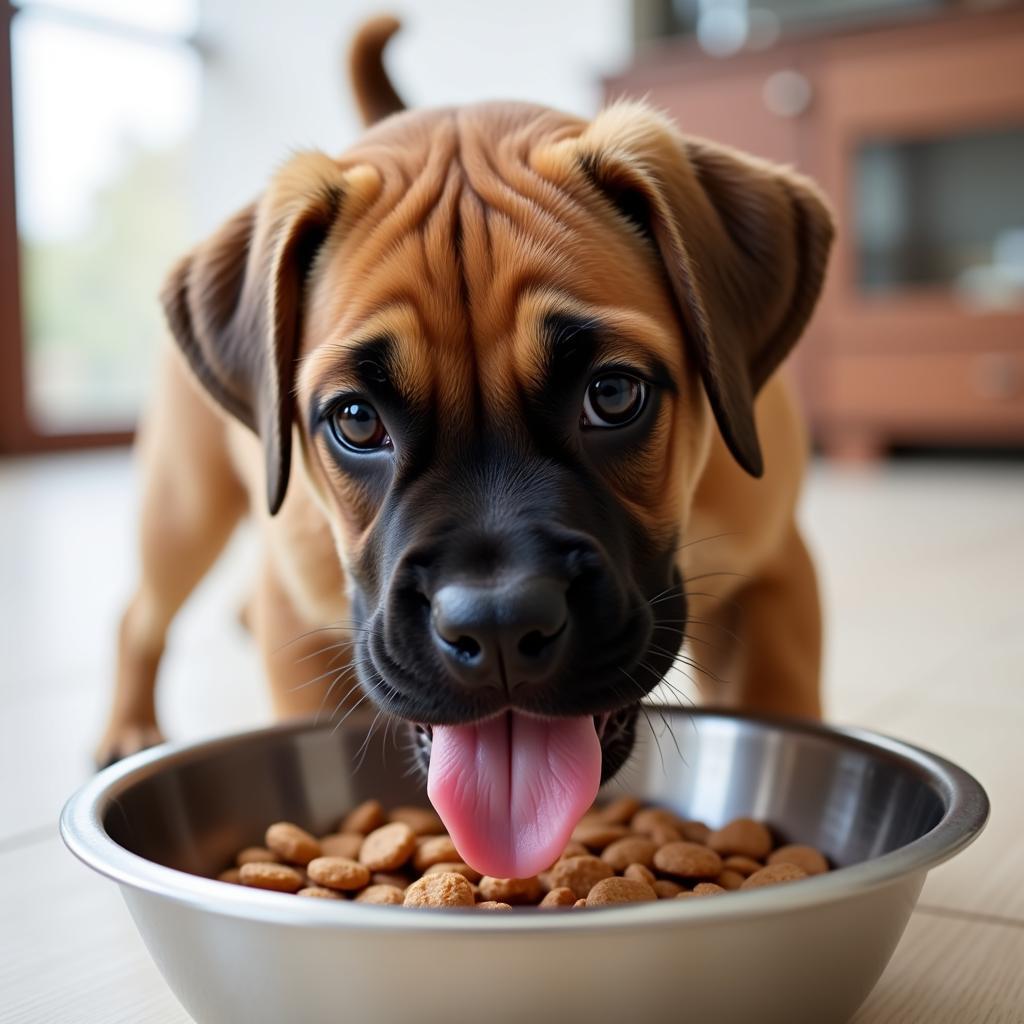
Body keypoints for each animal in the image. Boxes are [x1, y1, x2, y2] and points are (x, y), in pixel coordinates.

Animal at [97, 16, 831, 876]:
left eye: (613, 395)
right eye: (356, 421)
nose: (500, 627)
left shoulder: (776, 572)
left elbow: (782, 692)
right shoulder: (296, 621)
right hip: (183, 504)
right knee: (141, 615)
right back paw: (128, 724)